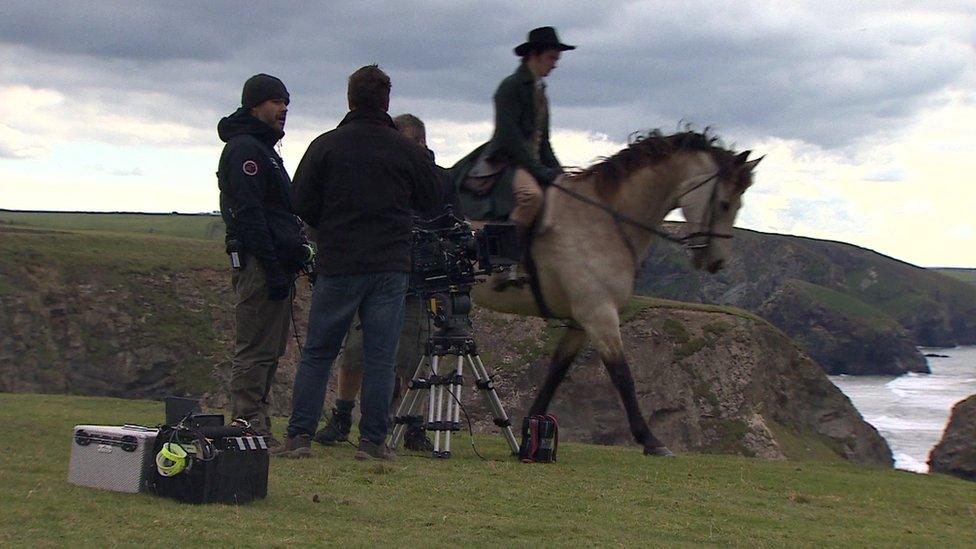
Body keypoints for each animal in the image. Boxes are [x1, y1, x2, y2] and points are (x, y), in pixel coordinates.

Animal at [472, 128, 764, 454]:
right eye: (725, 203)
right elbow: (623, 376)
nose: (717, 262)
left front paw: (532, 429)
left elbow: (557, 370)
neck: (603, 221)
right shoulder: (600, 315)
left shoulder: (581, 321)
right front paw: (650, 440)